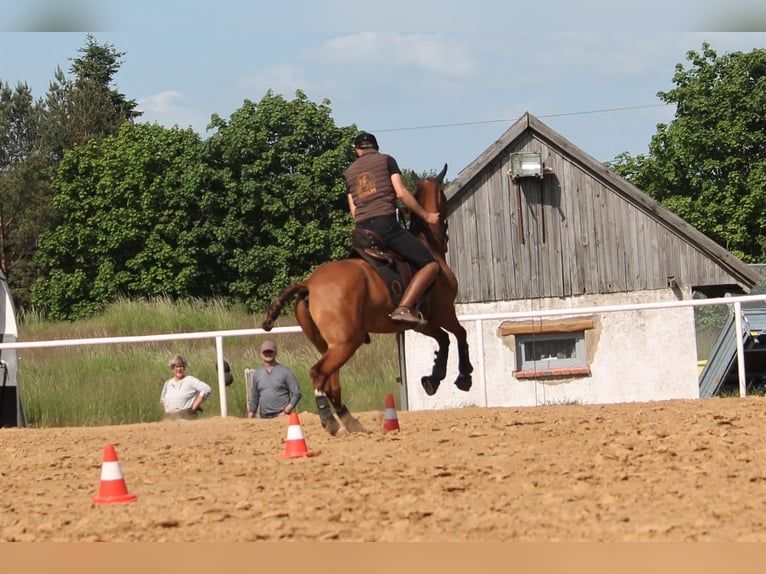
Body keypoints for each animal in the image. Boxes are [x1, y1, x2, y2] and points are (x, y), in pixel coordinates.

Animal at [260, 165, 472, 436]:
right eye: (444, 198)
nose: (444, 232)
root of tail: (308, 284)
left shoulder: (420, 322)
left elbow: (444, 339)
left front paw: (433, 379)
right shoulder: (444, 311)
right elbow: (459, 334)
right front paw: (463, 377)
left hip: (330, 345)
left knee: (332, 384)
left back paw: (350, 421)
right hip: (346, 343)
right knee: (318, 375)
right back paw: (330, 421)